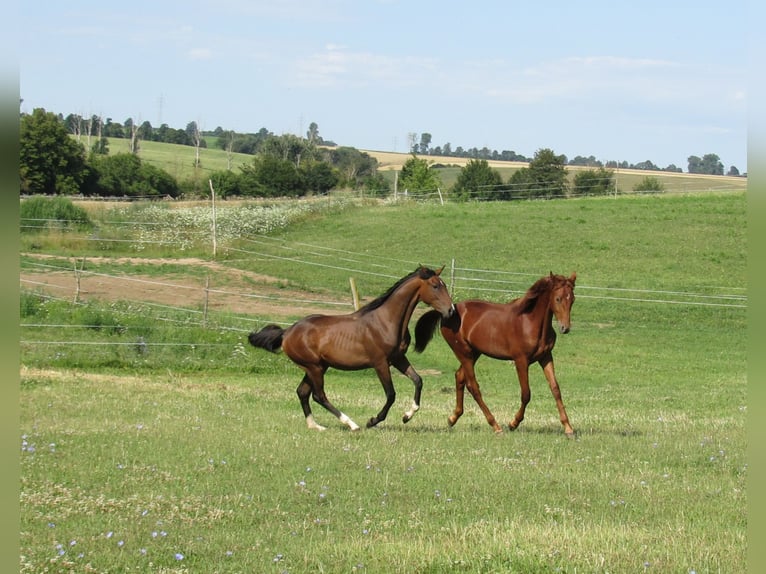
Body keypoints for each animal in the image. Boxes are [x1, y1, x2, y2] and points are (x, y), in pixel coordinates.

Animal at [248, 266, 456, 431]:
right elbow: (391, 394)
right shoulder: (380, 363)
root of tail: (287, 332)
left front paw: (407, 416)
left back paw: (316, 426)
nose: (451, 310)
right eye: (435, 286)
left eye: (444, 285)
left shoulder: (398, 359)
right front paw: (373, 421)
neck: (386, 321)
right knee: (318, 395)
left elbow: (418, 380)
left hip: (317, 367)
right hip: (314, 367)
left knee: (302, 392)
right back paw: (351, 424)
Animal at [414, 272, 577, 436]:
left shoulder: (546, 357)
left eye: (572, 299)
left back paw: (453, 418)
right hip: (463, 352)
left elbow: (555, 389)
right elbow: (526, 394)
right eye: (558, 299)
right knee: (473, 386)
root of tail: (448, 313)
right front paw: (513, 423)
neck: (529, 322)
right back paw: (495, 425)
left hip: (474, 353)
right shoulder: (521, 360)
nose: (565, 328)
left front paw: (568, 428)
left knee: (459, 377)